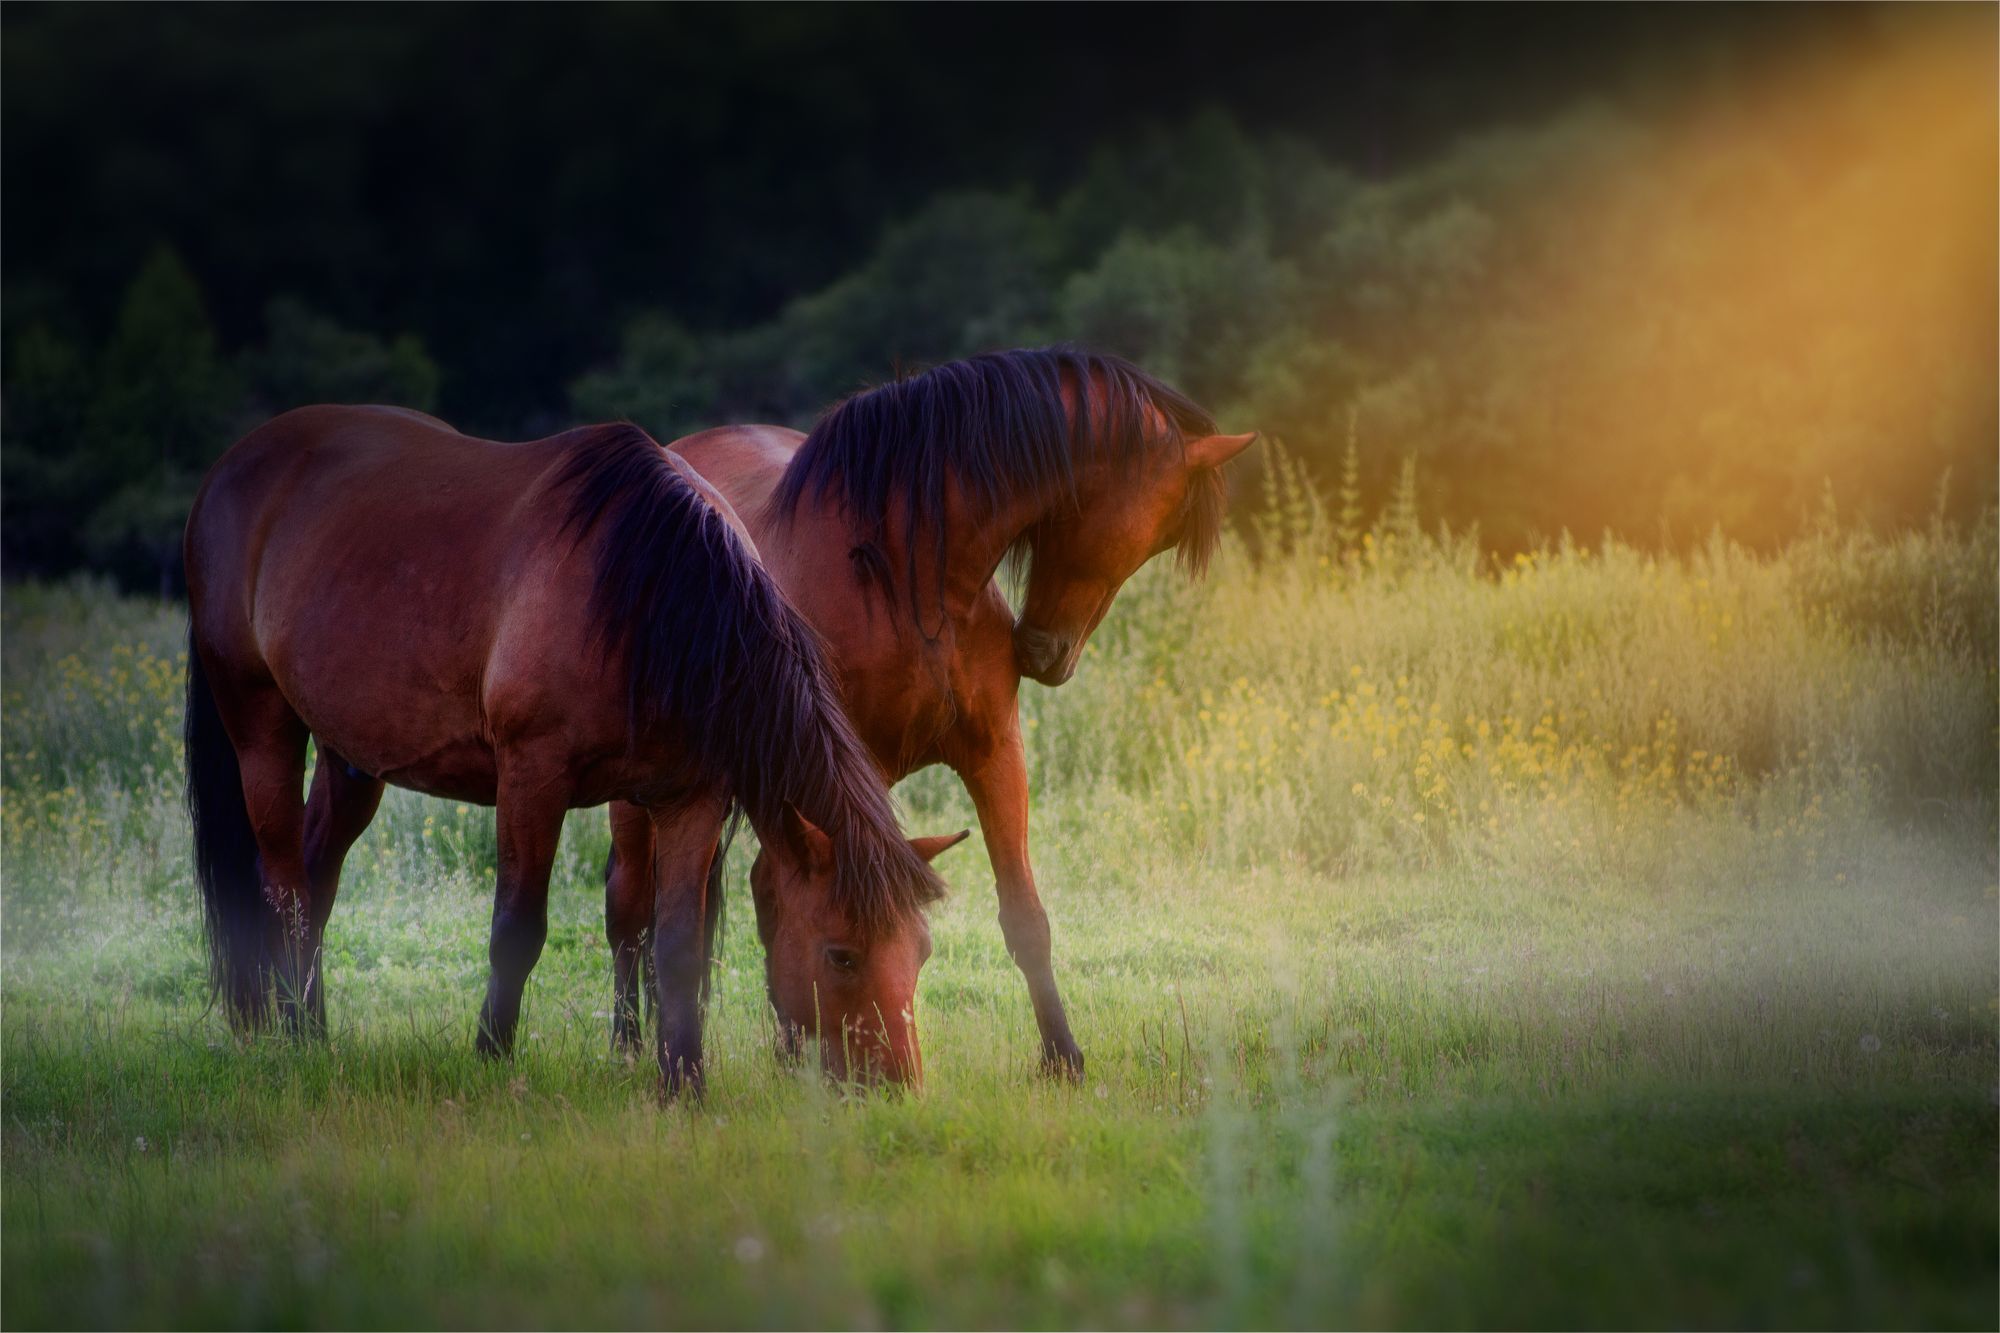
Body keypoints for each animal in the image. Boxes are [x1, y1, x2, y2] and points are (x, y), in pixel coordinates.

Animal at [182, 404, 960, 1088]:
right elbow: (518, 928)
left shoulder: (691, 799)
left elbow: (677, 946)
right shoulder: (533, 777)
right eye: (842, 954)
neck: (646, 601)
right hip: (261, 721)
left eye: (921, 951)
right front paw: (492, 1058)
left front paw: (684, 1083)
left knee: (318, 877)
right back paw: (291, 1034)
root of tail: (232, 468)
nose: (897, 1084)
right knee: (284, 882)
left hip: (352, 758)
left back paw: (315, 1031)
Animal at [604, 342, 1248, 1072]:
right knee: (630, 904)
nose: (1048, 654)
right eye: (1158, 528)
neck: (909, 581)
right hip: (642, 796)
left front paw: (1063, 1057)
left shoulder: (994, 753)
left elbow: (1025, 916)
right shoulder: (851, 777)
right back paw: (631, 1043)